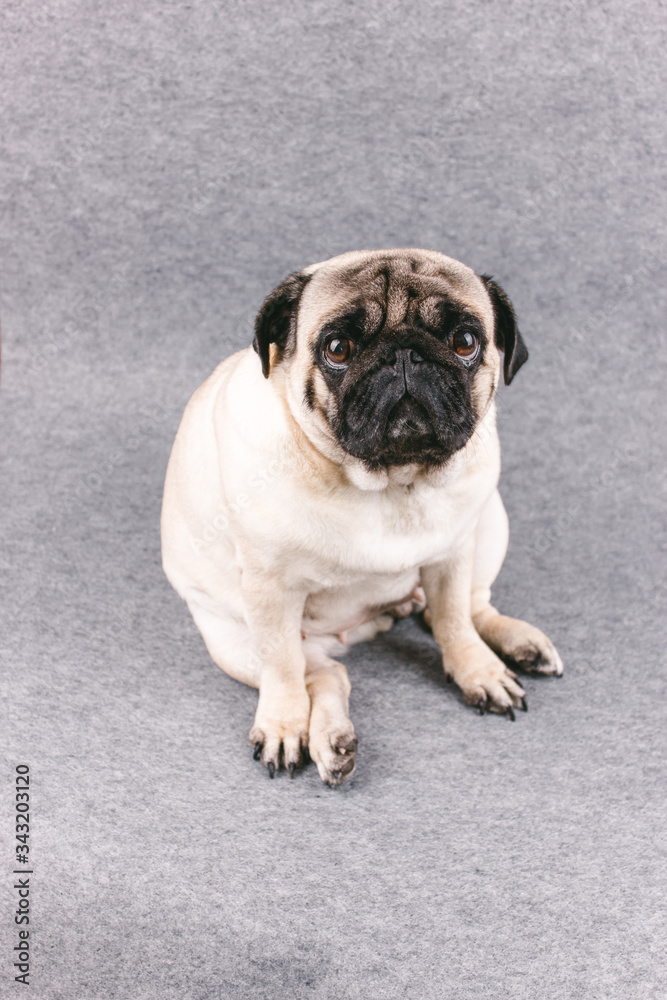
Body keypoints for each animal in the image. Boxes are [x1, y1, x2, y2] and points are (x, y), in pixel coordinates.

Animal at [162, 246, 564, 784]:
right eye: (338, 349)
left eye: (464, 342)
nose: (404, 354)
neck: (390, 483)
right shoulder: (270, 590)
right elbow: (283, 668)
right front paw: (285, 724)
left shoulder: (454, 554)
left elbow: (455, 619)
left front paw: (476, 671)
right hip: (233, 641)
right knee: (324, 673)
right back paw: (329, 740)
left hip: (490, 523)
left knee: (469, 607)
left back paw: (517, 645)